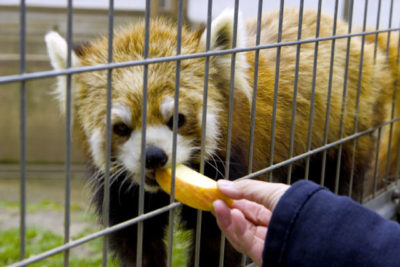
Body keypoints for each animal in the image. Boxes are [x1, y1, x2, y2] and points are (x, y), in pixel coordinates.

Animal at [46, 8, 396, 267]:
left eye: (177, 119)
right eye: (121, 127)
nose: (154, 156)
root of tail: (352, 32)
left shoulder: (235, 162)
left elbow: (218, 244)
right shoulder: (123, 192)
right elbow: (136, 239)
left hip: (347, 128)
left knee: (340, 173)